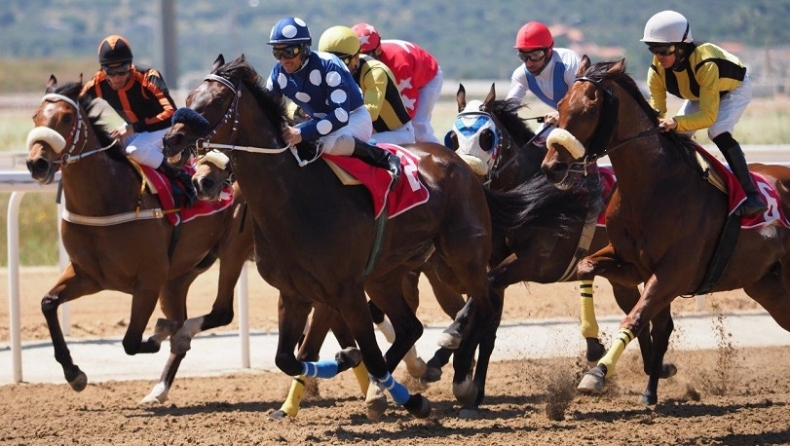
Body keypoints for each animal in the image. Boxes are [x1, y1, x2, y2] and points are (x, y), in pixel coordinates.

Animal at [26, 76, 254, 404]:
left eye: (67, 118)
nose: (37, 164)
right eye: (36, 116)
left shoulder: (148, 281)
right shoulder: (88, 275)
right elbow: (48, 303)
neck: (106, 200)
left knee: (221, 311)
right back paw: (158, 389)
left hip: (233, 248)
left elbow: (132, 341)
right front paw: (74, 373)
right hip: (178, 279)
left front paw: (160, 333)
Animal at [160, 54, 536, 420]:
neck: (296, 198)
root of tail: (462, 164)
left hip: (463, 256)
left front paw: (410, 400)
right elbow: (291, 357)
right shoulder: (296, 294)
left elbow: (362, 352)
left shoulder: (345, 290)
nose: (170, 140)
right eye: (189, 98)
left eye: (218, 101)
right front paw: (339, 372)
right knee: (413, 326)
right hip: (389, 275)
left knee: (484, 306)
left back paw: (462, 380)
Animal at [544, 55, 790, 404]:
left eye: (591, 109)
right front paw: (595, 345)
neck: (653, 186)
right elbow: (587, 266)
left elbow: (636, 318)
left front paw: (597, 373)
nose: (552, 166)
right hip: (766, 284)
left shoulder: (672, 274)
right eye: (562, 104)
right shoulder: (633, 266)